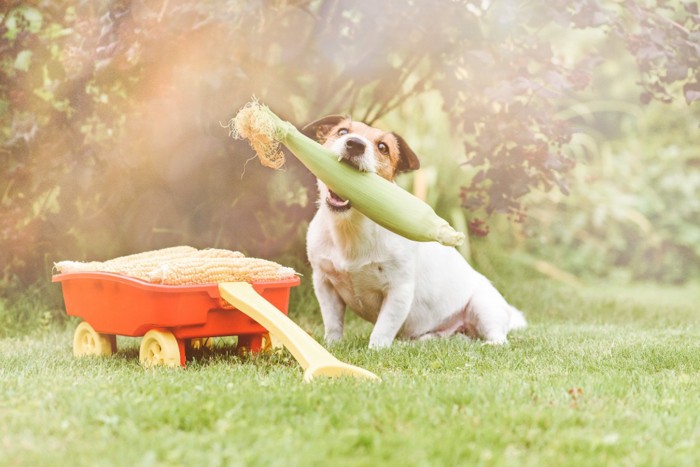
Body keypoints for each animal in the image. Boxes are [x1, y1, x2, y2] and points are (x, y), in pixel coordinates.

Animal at [300, 116, 524, 352]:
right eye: (342, 132)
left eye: (383, 147)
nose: (355, 144)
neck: (351, 227)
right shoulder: (324, 283)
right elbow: (333, 322)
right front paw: (331, 346)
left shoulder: (399, 290)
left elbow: (383, 328)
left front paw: (375, 351)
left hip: (484, 306)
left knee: (498, 337)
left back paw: (490, 343)